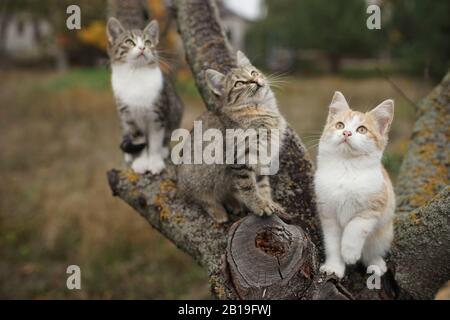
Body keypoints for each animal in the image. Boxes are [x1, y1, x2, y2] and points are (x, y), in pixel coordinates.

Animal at [107, 17, 181, 175]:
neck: (136, 75)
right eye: (129, 42)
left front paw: (154, 161)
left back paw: (163, 150)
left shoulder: (158, 115)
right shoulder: (128, 117)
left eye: (147, 42)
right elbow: (138, 140)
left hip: (176, 108)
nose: (142, 48)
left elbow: (155, 141)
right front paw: (140, 161)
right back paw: (129, 154)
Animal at [176, 51, 284, 224]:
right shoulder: (240, 158)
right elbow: (248, 186)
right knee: (199, 197)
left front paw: (269, 202)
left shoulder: (262, 158)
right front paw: (258, 205)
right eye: (239, 83)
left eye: (253, 73)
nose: (255, 80)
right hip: (198, 177)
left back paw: (233, 203)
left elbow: (263, 185)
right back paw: (217, 211)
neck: (260, 108)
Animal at [314, 91, 396, 278]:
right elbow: (333, 244)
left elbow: (355, 227)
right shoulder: (328, 214)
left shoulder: (373, 207)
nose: (346, 133)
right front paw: (334, 267)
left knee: (372, 252)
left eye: (362, 129)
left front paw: (349, 253)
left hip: (384, 233)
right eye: (339, 125)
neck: (347, 167)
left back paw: (376, 264)